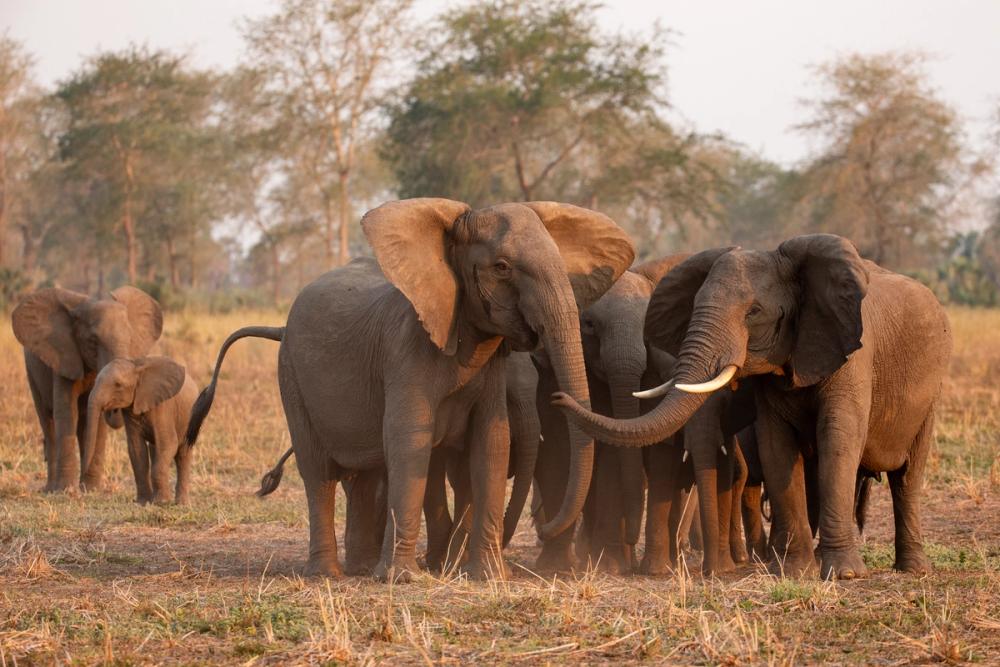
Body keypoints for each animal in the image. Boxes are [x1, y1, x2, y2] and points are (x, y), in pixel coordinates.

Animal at [12, 286, 163, 492]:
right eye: (93, 341)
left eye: (131, 339)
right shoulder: (63, 357)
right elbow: (66, 412)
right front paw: (66, 491)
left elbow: (96, 418)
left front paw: (91, 490)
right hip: (32, 373)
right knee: (47, 421)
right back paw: (51, 488)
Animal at [81, 356, 199, 505]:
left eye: (118, 385)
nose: (111, 409)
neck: (136, 367)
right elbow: (137, 449)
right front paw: (143, 502)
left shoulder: (163, 407)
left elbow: (169, 444)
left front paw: (161, 502)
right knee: (155, 450)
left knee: (182, 455)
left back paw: (182, 504)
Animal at [186, 199, 634, 580]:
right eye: (502, 267)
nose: (559, 397)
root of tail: (279, 326)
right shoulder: (405, 353)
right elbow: (409, 443)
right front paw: (402, 579)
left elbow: (492, 442)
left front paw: (490, 578)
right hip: (291, 374)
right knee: (318, 473)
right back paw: (329, 575)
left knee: (364, 476)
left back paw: (361, 569)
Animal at [555, 234, 952, 579]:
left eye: (755, 312)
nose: (558, 398)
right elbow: (776, 447)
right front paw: (793, 571)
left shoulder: (853, 356)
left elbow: (838, 442)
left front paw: (844, 574)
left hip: (932, 391)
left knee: (907, 476)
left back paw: (913, 569)